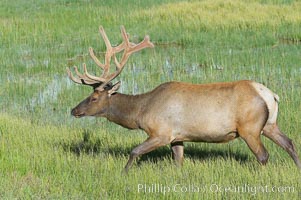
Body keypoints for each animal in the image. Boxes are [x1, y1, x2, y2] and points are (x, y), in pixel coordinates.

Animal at [67, 25, 300, 172]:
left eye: (94, 97)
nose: (73, 110)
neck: (141, 112)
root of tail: (270, 94)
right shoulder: (177, 137)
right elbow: (178, 162)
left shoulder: (161, 132)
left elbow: (134, 151)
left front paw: (123, 173)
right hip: (269, 124)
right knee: (290, 143)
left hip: (249, 128)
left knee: (264, 155)